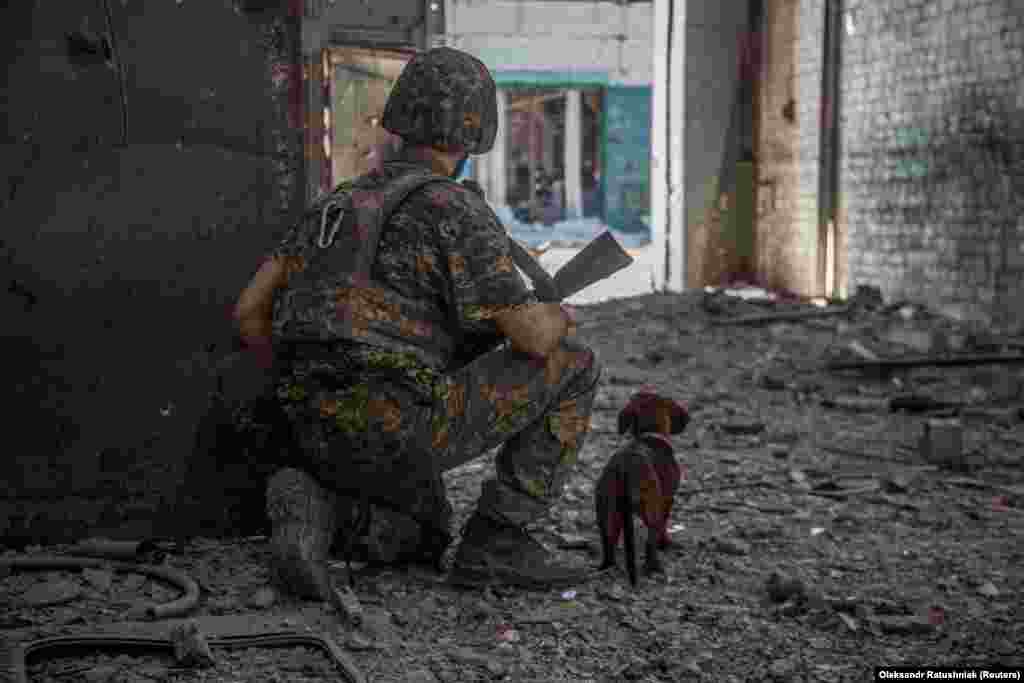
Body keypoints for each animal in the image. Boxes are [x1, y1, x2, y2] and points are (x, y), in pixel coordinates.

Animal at [593, 387, 688, 585]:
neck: (648, 434)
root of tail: (624, 469)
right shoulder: (667, 500)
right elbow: (663, 527)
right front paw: (665, 543)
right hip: (651, 509)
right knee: (650, 541)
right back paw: (654, 568)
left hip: (607, 512)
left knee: (608, 541)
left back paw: (607, 566)